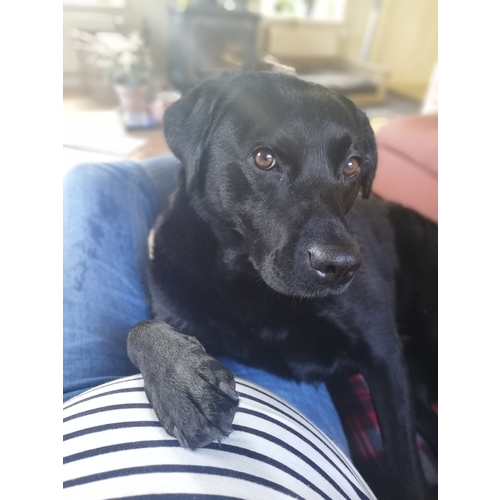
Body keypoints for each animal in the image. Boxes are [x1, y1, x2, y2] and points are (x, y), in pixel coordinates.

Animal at [127, 72, 437, 500]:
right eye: (264, 158)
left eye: (352, 165)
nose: (341, 266)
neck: (251, 282)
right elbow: (138, 329)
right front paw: (182, 381)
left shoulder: (385, 356)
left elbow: (406, 466)